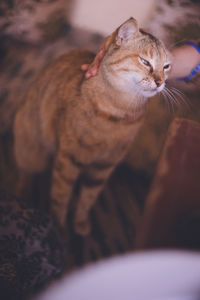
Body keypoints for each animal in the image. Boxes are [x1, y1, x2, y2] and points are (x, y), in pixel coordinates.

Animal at [13, 17, 171, 236]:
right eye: (145, 61)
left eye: (166, 66)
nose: (160, 82)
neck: (120, 114)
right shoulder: (68, 159)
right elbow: (61, 196)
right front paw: (59, 227)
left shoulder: (104, 166)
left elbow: (88, 198)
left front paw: (79, 222)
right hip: (31, 149)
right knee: (25, 172)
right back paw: (23, 194)